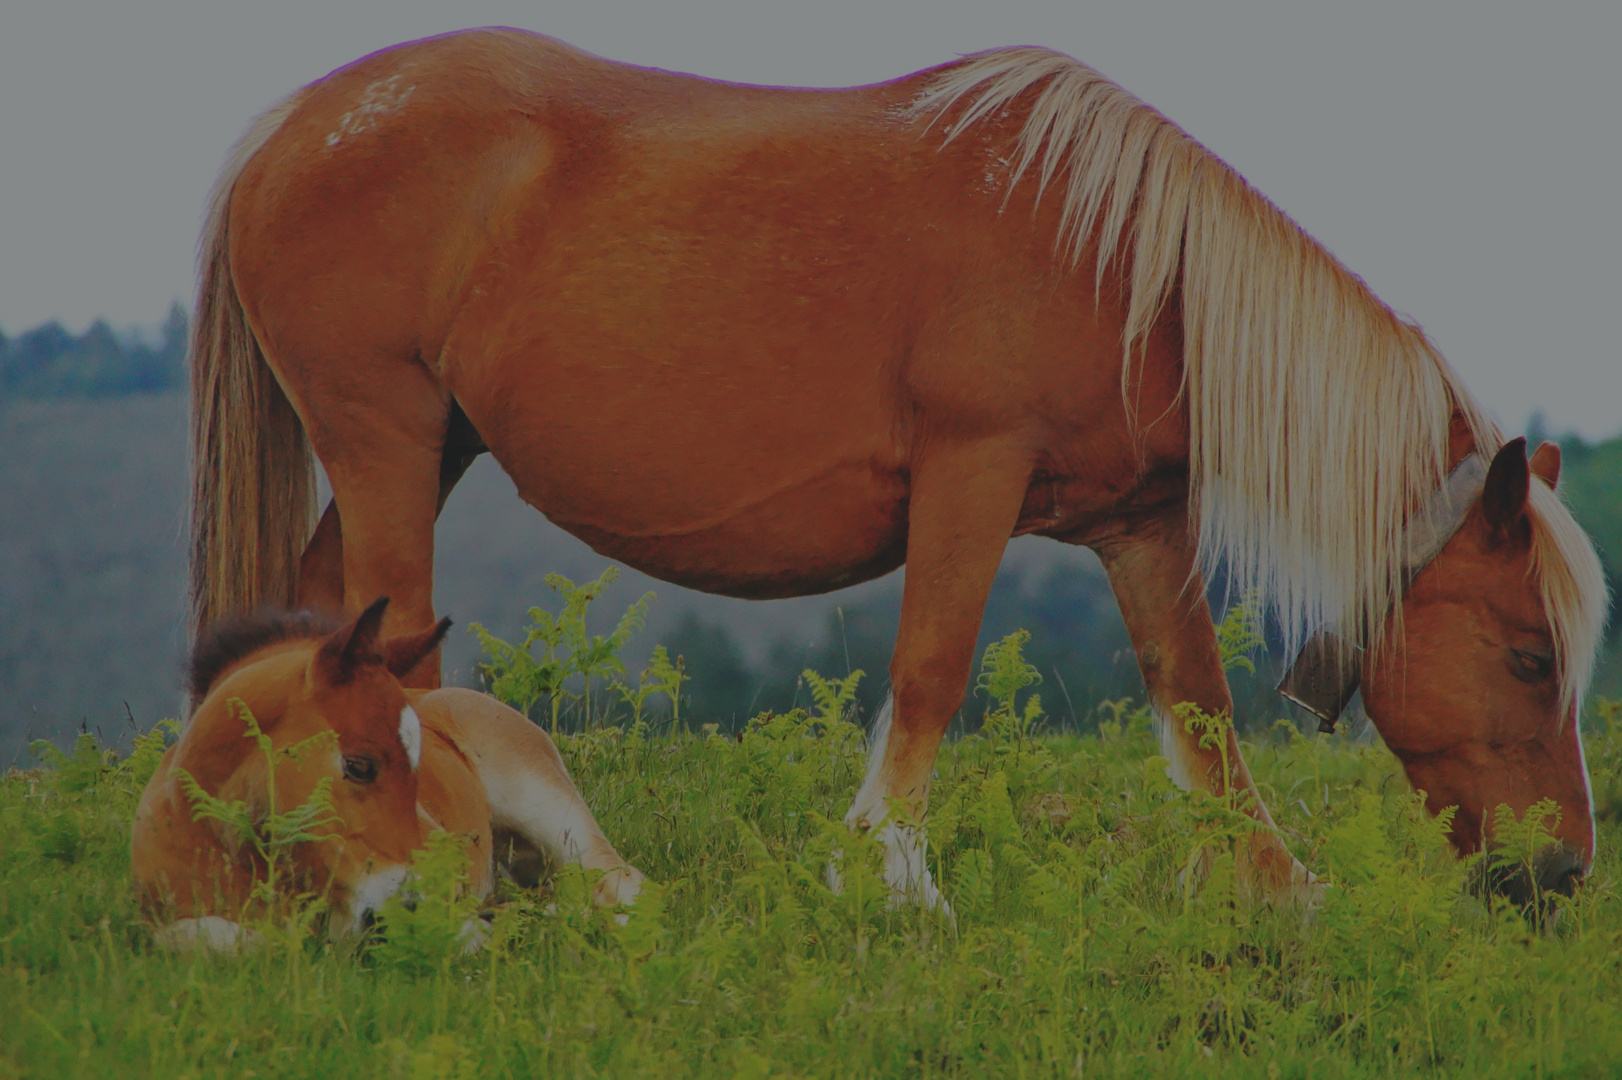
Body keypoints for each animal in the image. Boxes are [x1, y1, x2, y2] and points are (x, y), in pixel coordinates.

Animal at [133, 596, 639, 953]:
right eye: (360, 765)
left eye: (417, 774)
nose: (408, 905)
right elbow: (219, 939)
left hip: (548, 807)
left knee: (622, 881)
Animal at [189, 31, 1609, 901]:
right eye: (1527, 657)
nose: (1561, 875)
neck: (1122, 261)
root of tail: (292, 129)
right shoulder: (970, 477)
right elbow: (929, 671)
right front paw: (888, 875)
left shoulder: (1140, 524)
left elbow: (1195, 704)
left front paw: (1269, 886)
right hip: (383, 435)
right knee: (388, 647)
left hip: (428, 446)